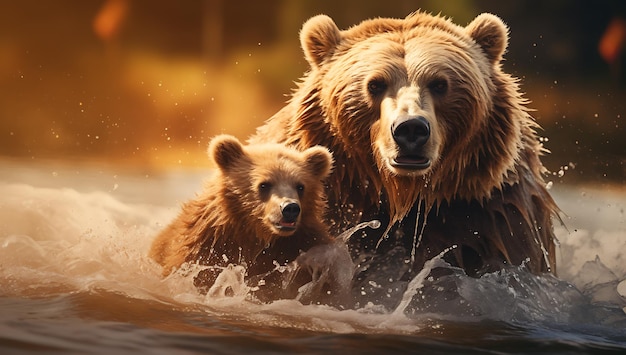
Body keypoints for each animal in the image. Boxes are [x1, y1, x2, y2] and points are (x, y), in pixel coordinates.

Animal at [149, 135, 334, 302]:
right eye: (264, 184)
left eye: (300, 186)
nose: (290, 208)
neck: (255, 235)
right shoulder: (206, 246)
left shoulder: (302, 244)